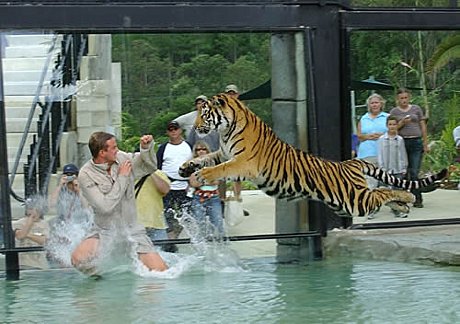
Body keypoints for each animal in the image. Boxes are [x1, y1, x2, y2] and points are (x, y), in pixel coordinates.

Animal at [179, 92, 446, 216]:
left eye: (204, 114)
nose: (196, 127)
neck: (225, 129)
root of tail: (351, 162)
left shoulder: (243, 162)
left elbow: (220, 168)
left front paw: (203, 175)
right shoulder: (224, 152)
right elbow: (206, 157)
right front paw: (186, 167)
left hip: (354, 200)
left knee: (382, 191)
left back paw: (408, 199)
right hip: (347, 203)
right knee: (381, 194)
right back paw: (403, 207)